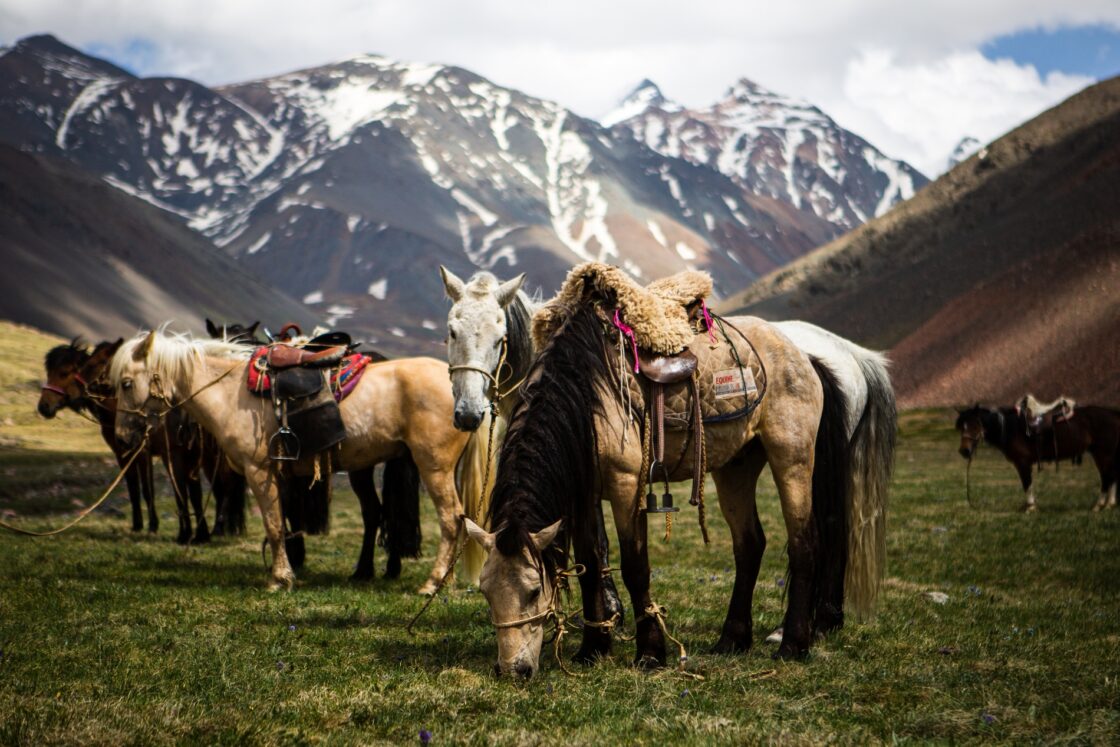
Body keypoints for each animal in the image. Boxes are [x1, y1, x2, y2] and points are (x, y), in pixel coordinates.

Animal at [109, 329, 482, 592]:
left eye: (126, 383)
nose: (123, 436)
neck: (228, 391)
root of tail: (468, 395)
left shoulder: (259, 470)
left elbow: (274, 524)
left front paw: (280, 579)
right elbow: (284, 522)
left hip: (434, 466)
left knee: (451, 519)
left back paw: (432, 583)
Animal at [464, 264, 896, 677]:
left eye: (532, 590)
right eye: (485, 591)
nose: (513, 670)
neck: (587, 394)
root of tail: (805, 357)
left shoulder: (625, 485)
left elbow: (635, 567)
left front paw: (651, 653)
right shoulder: (586, 494)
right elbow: (590, 564)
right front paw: (593, 649)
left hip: (793, 457)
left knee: (805, 542)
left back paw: (793, 643)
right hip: (736, 467)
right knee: (749, 544)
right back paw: (732, 639)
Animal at [955, 404, 1120, 511]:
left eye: (975, 425)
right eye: (961, 427)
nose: (964, 451)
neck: (1011, 429)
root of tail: (1113, 415)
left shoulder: (1022, 463)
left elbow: (1027, 484)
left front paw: (1030, 507)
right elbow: (1029, 484)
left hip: (1102, 453)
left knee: (1106, 477)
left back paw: (1099, 505)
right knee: (1111, 476)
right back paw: (1109, 504)